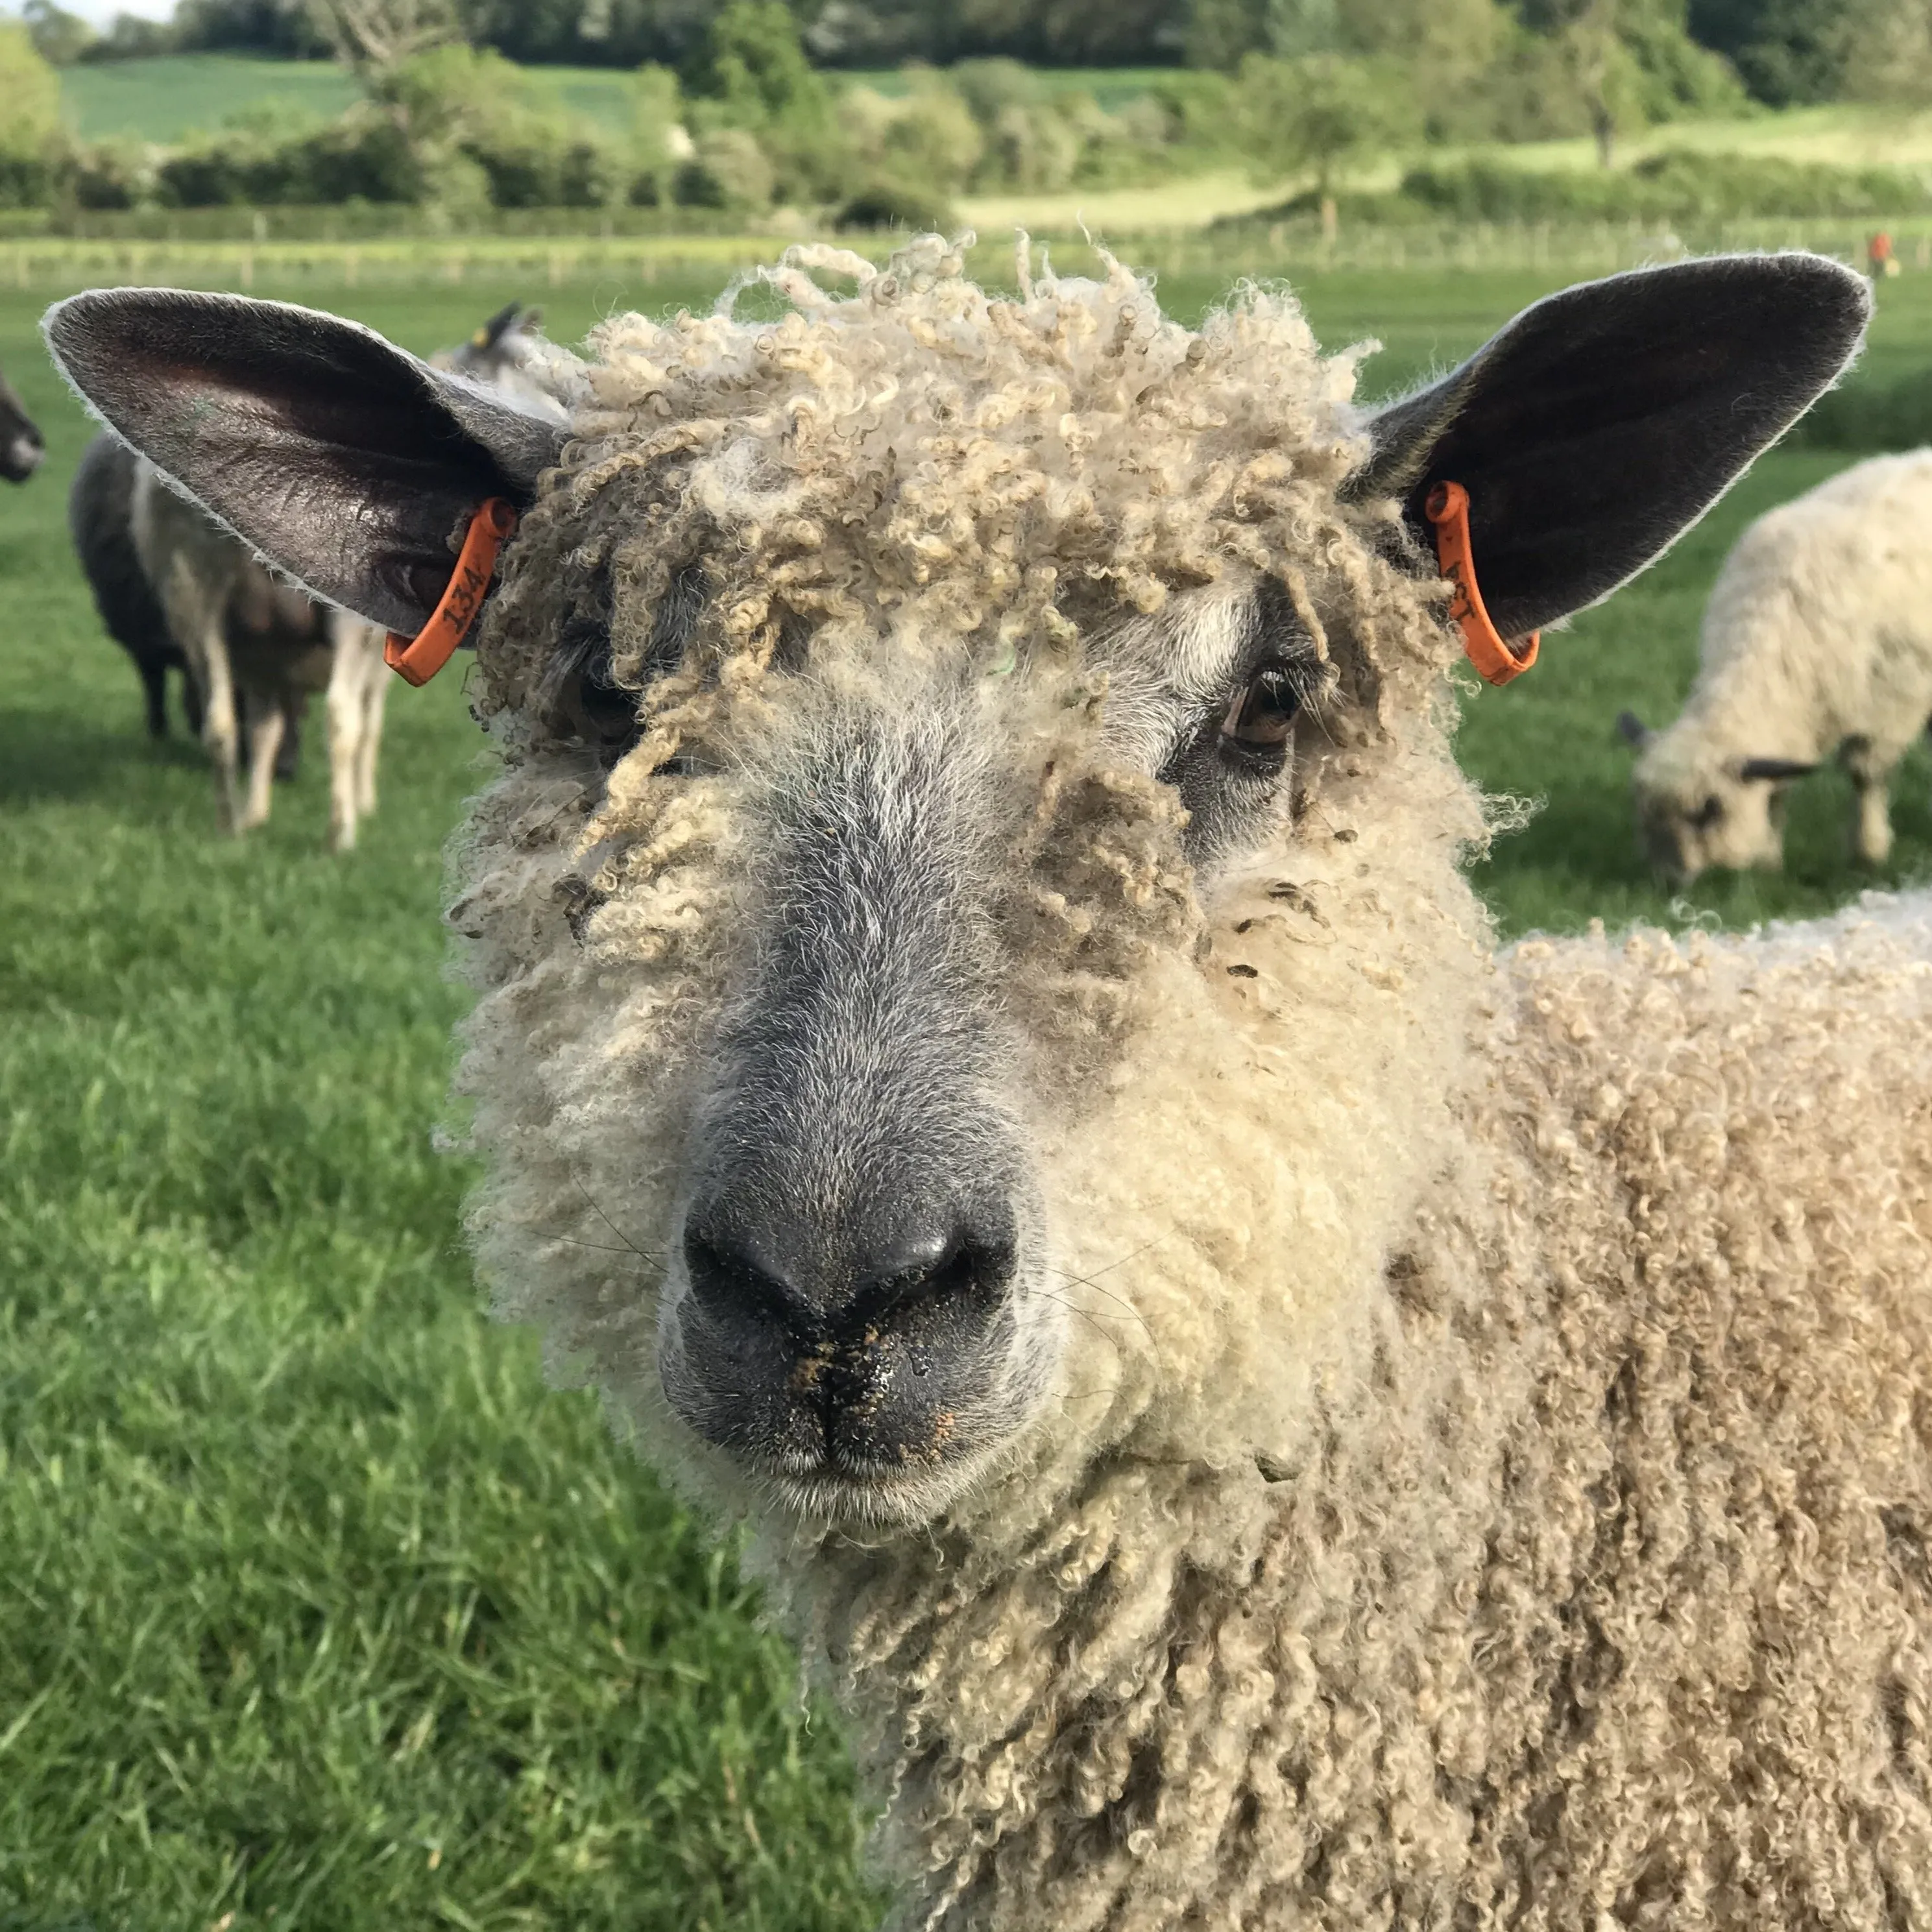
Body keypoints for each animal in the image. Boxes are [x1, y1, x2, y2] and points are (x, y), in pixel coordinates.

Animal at [1615, 448, 1932, 880]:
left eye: (1709, 811)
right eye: (1644, 812)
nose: (1668, 883)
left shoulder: (1889, 708)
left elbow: (1865, 778)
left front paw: (1868, 851)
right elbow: (1778, 792)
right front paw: (1769, 862)